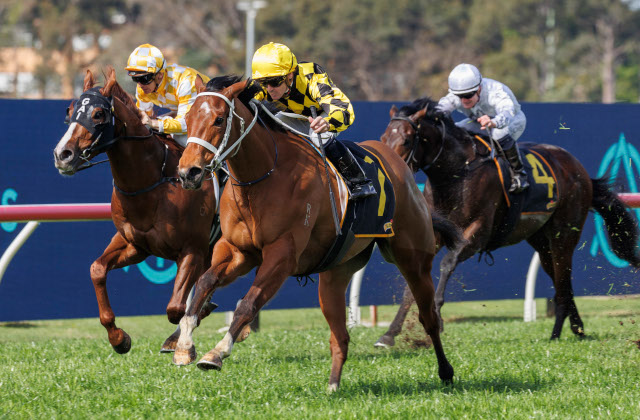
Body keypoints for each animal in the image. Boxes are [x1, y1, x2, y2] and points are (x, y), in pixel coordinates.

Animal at [51, 68, 220, 354]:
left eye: (99, 114)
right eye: (70, 110)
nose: (62, 154)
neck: (154, 182)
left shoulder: (192, 249)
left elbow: (177, 307)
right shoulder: (135, 245)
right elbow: (97, 269)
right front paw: (119, 338)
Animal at [172, 75, 456, 390]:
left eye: (219, 119)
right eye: (188, 118)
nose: (188, 173)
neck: (263, 176)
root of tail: (398, 165)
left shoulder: (282, 255)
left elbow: (248, 304)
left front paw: (217, 352)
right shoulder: (237, 251)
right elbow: (204, 283)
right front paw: (183, 345)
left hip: (413, 259)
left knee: (429, 317)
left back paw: (445, 371)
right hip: (337, 271)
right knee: (340, 336)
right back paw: (333, 386)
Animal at [376, 98, 640, 344]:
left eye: (407, 140)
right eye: (383, 137)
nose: (389, 171)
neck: (458, 171)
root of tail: (579, 170)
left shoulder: (477, 232)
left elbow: (447, 263)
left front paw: (438, 319)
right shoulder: (436, 232)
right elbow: (411, 286)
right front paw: (388, 335)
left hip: (564, 233)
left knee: (564, 280)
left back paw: (556, 333)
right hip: (541, 240)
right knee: (560, 280)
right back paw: (577, 329)